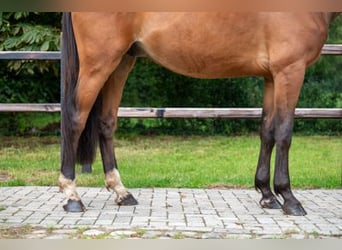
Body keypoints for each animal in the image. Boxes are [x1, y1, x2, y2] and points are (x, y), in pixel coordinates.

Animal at [59, 11, 340, 215]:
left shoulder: (272, 77)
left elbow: (267, 132)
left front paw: (267, 195)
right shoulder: (290, 70)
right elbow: (283, 133)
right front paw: (289, 199)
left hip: (121, 62)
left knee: (106, 123)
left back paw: (122, 192)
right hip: (99, 63)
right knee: (75, 121)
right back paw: (72, 196)